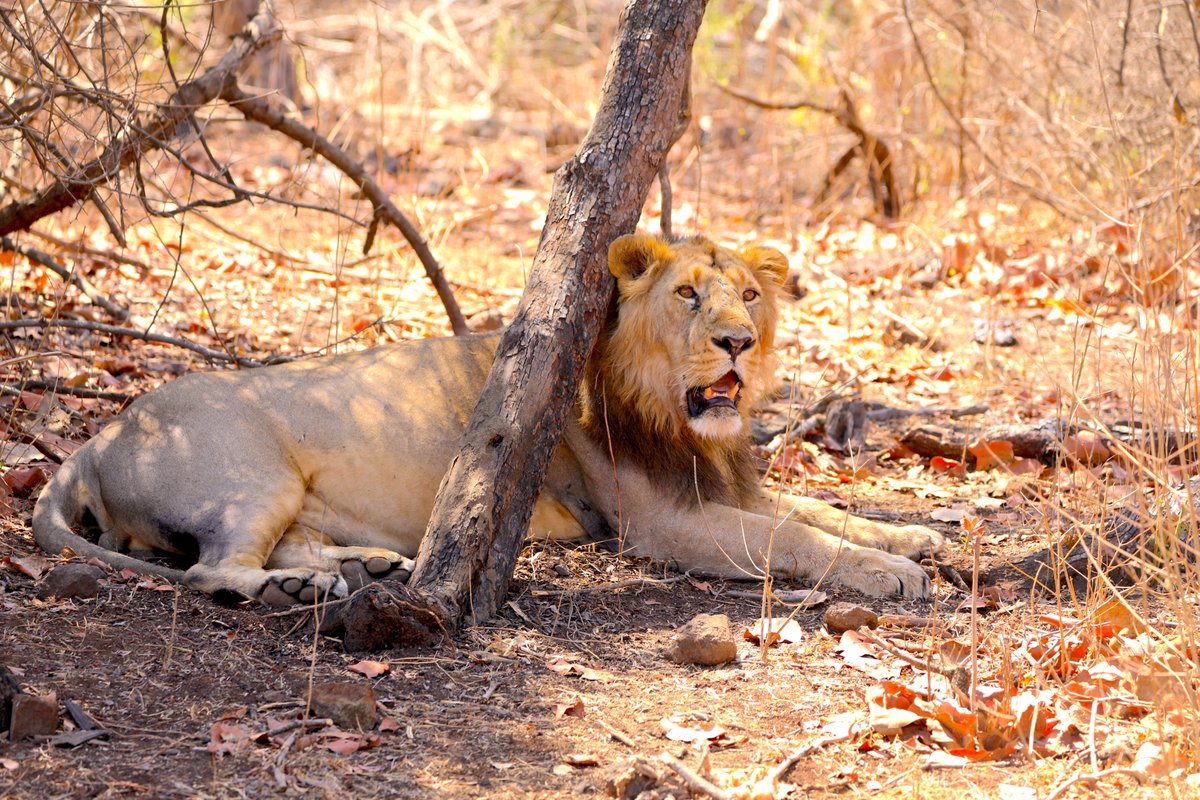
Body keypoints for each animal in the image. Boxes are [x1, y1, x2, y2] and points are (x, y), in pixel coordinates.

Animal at [32, 233, 944, 607]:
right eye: (688, 293)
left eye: (749, 295)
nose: (738, 344)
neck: (672, 416)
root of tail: (95, 440)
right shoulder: (658, 523)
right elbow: (793, 536)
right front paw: (890, 573)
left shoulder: (716, 482)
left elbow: (817, 509)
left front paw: (913, 537)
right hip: (253, 475)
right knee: (209, 570)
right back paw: (299, 589)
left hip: (286, 499)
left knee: (279, 548)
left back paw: (362, 569)